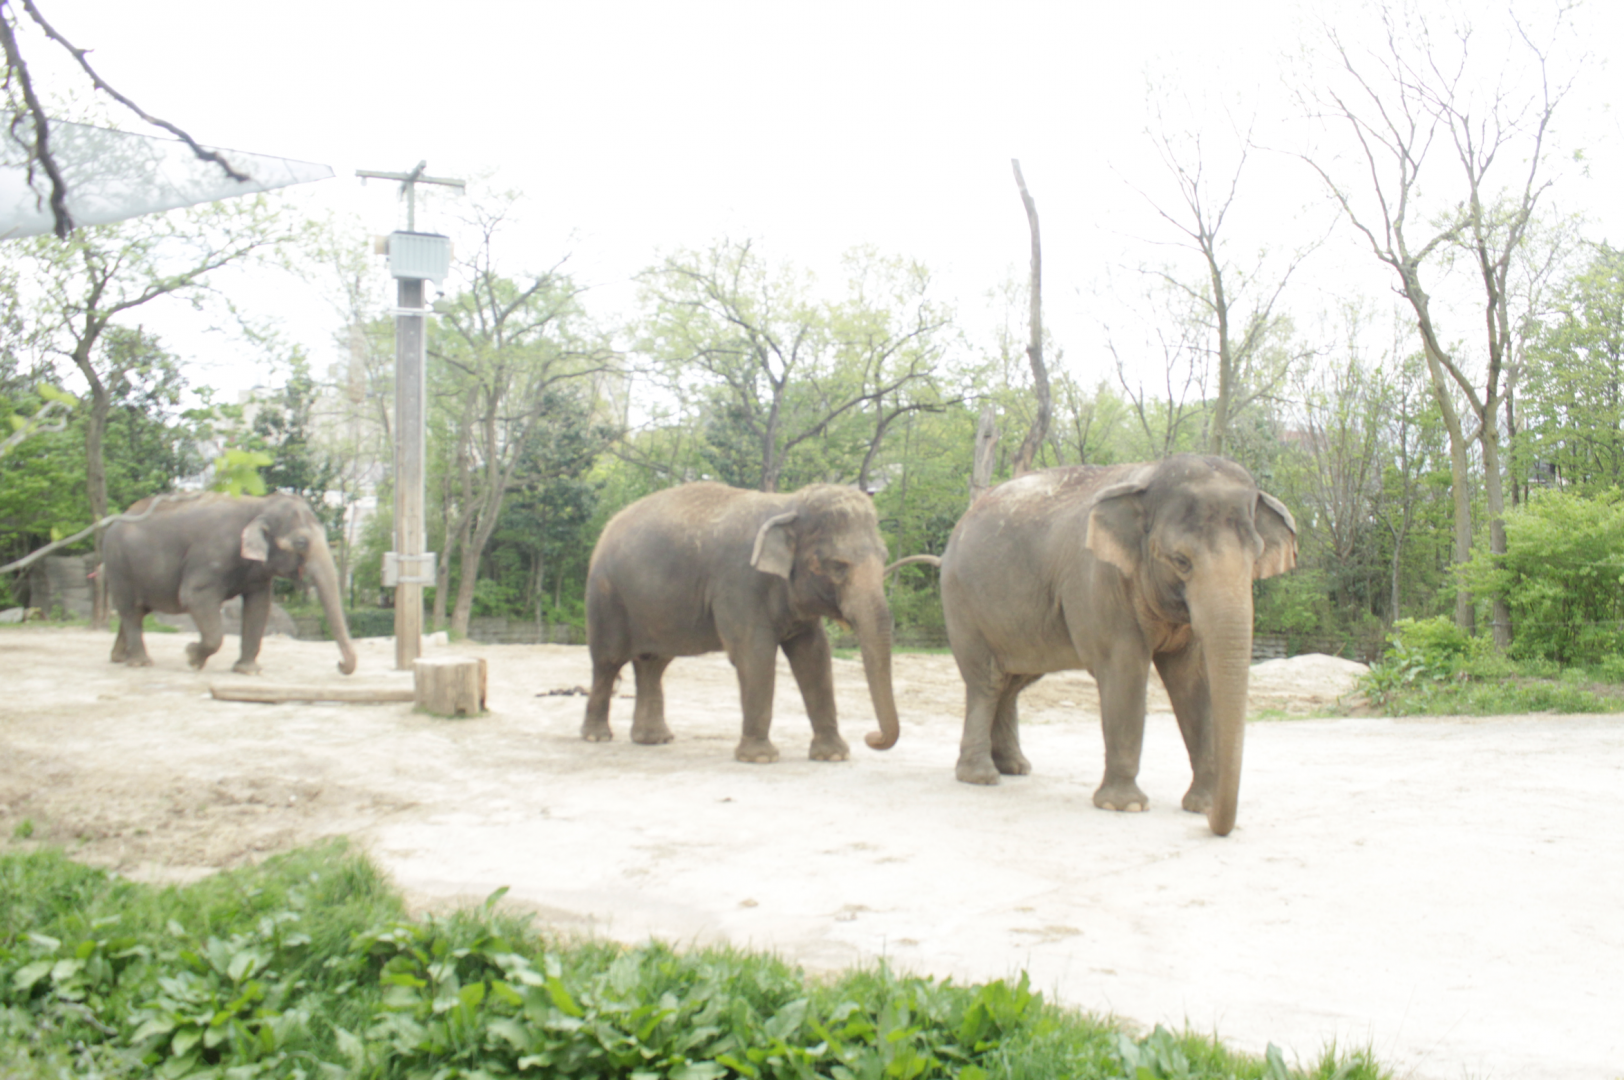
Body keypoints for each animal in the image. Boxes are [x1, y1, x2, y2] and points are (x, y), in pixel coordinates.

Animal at [103, 492, 358, 676]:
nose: (339, 665)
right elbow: (193, 597)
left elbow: (259, 606)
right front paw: (191, 657)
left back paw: (120, 658)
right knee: (131, 611)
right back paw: (140, 663)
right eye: (301, 542)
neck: (259, 505)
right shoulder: (211, 557)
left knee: (135, 612)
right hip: (118, 566)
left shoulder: (257, 574)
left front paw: (247, 671)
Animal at [581, 481, 901, 763]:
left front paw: (833, 755)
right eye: (837, 565)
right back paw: (597, 737)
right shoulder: (739, 583)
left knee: (653, 663)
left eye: (884, 557)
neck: (787, 505)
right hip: (606, 597)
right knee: (608, 661)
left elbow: (814, 656)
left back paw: (654, 739)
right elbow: (754, 654)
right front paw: (760, 758)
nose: (871, 737)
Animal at [939, 455, 1296, 836]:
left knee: (1014, 681)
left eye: (1255, 560)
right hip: (962, 604)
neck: (1151, 475)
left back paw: (1015, 767)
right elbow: (1124, 671)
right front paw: (1124, 806)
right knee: (987, 681)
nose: (1215, 822)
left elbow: (1192, 682)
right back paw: (981, 777)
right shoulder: (1101, 580)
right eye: (1181, 561)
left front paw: (1200, 805)